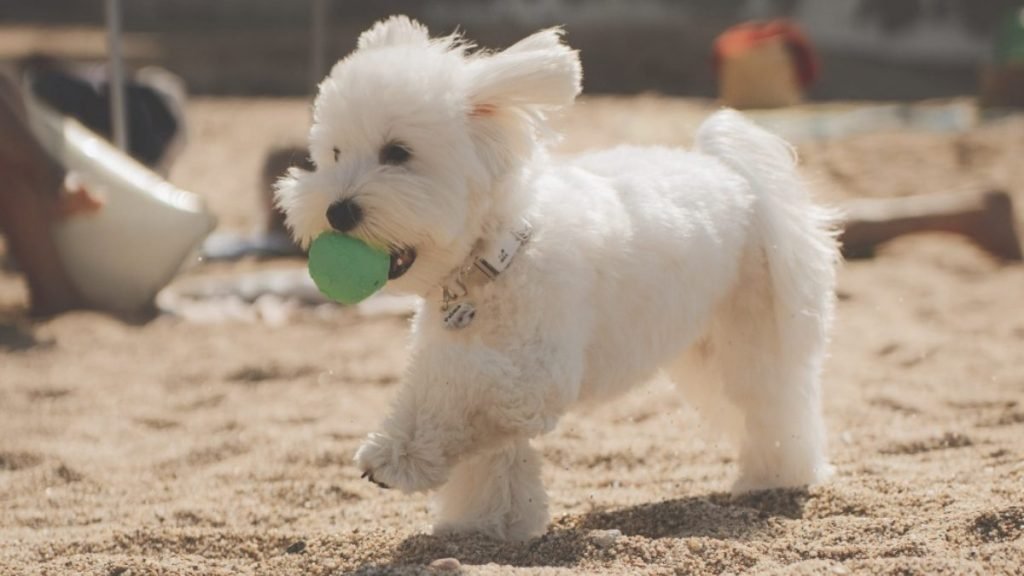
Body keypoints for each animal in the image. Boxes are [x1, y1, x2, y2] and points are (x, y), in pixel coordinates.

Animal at [276, 15, 835, 541]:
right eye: (334, 154)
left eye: (397, 152)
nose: (337, 211)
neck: (500, 257)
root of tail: (736, 176)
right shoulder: (491, 373)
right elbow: (493, 454)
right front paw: (486, 523)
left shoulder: (534, 373)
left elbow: (451, 382)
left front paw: (396, 453)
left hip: (750, 333)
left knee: (775, 404)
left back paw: (776, 476)